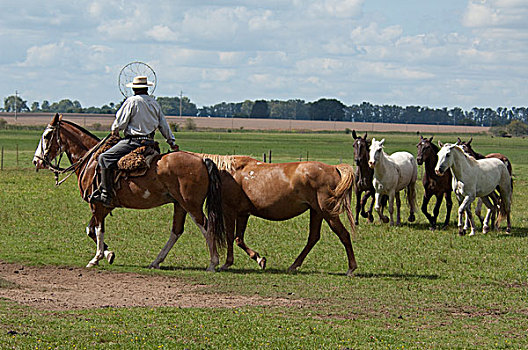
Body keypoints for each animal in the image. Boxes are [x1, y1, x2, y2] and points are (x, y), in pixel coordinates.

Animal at [32, 115, 224, 270]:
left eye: (47, 136)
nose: (37, 161)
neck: (91, 161)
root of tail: (202, 160)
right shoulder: (104, 206)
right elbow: (90, 229)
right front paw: (108, 254)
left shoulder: (98, 204)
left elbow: (98, 229)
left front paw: (97, 258)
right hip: (180, 205)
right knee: (176, 231)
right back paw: (156, 262)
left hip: (191, 205)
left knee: (207, 227)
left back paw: (213, 263)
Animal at [148, 153, 358, 276]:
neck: (225, 172)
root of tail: (333, 168)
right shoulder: (243, 214)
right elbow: (239, 239)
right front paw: (259, 258)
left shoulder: (230, 211)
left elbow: (230, 237)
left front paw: (226, 263)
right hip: (317, 212)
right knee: (313, 238)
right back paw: (293, 266)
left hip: (327, 212)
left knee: (343, 235)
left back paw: (351, 268)